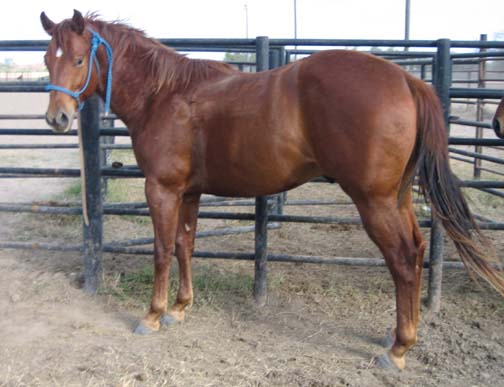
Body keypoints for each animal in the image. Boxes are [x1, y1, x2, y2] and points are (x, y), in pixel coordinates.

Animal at [40, 10, 504, 372]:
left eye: (79, 59)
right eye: (47, 59)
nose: (57, 119)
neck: (165, 94)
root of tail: (407, 80)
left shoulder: (163, 190)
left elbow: (161, 250)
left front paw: (152, 315)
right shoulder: (189, 193)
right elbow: (185, 245)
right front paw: (180, 308)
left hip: (375, 202)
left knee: (404, 259)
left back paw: (398, 348)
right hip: (398, 197)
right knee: (418, 249)